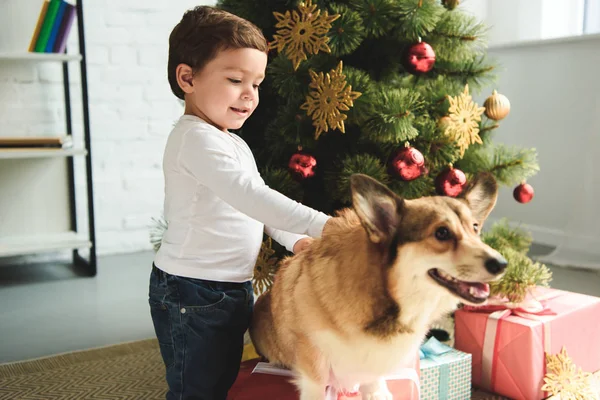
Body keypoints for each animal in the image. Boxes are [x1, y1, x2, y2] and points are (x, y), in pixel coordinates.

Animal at [248, 173, 506, 400]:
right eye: (441, 233)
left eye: (475, 228)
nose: (502, 264)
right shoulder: (311, 353)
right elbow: (316, 386)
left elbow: (371, 376)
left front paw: (375, 392)